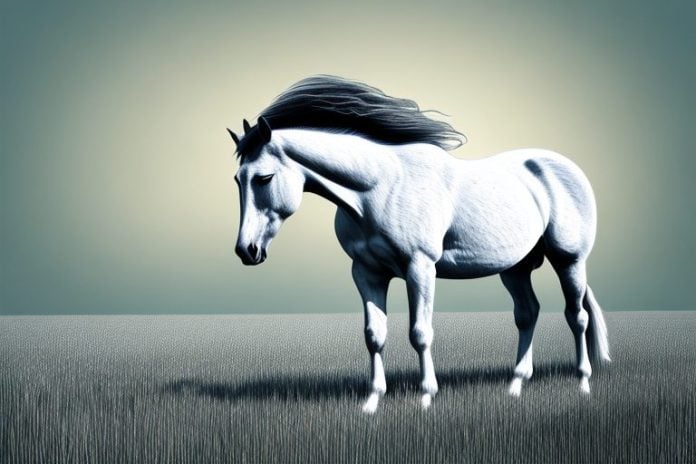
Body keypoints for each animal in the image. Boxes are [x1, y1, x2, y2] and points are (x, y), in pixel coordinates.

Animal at [228, 75, 610, 413]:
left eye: (264, 178)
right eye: (237, 179)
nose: (247, 250)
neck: (378, 189)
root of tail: (564, 167)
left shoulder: (420, 268)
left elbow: (420, 333)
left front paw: (426, 396)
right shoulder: (366, 273)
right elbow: (374, 334)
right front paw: (372, 401)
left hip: (569, 260)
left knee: (576, 316)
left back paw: (583, 382)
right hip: (515, 268)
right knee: (528, 313)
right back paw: (515, 385)